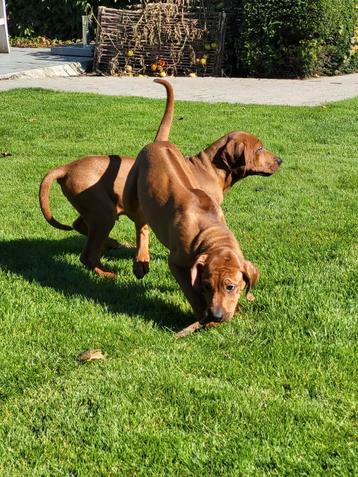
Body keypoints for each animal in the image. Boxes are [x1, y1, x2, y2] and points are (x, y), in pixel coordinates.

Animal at [37, 80, 282, 278]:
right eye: (260, 148)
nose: (280, 160)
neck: (209, 168)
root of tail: (66, 168)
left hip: (97, 210)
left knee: (79, 225)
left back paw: (111, 244)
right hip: (103, 213)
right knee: (87, 253)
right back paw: (107, 273)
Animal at [124, 78, 258, 334]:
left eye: (231, 287)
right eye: (206, 285)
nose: (216, 314)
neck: (210, 232)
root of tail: (159, 143)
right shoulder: (176, 262)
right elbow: (190, 290)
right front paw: (202, 315)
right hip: (131, 193)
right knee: (140, 224)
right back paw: (141, 260)